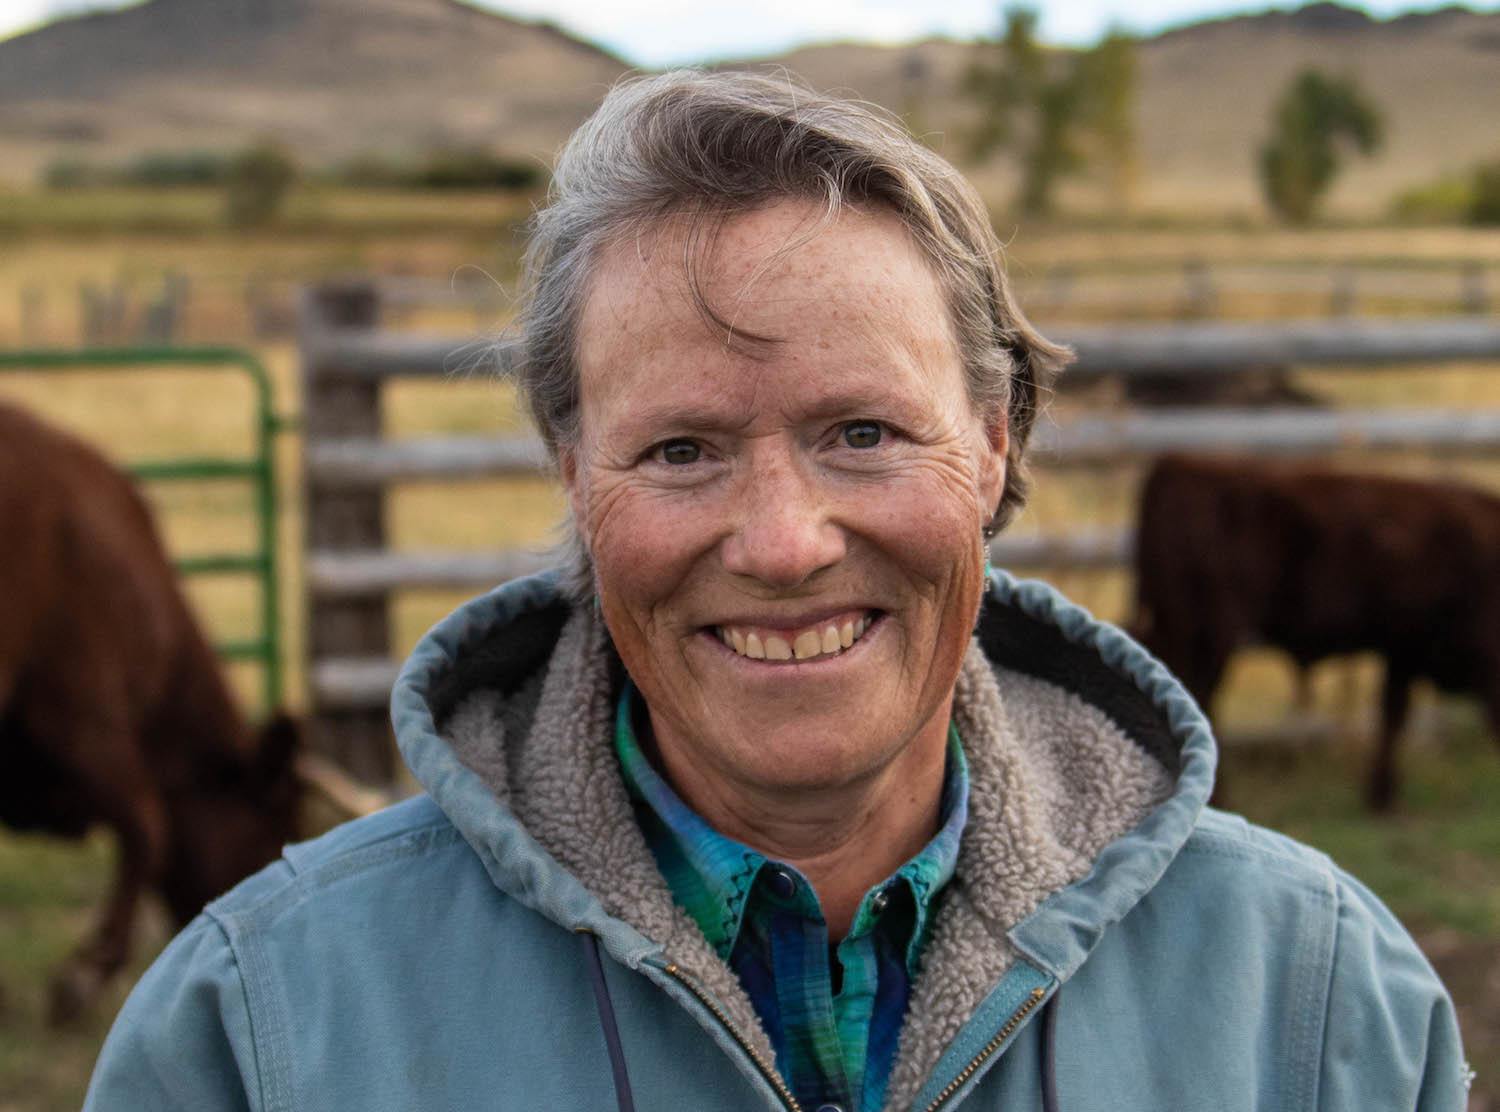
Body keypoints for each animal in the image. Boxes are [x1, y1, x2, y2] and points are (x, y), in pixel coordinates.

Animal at [1128, 450, 1500, 804]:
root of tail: (1174, 465)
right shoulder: (1404, 645)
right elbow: (1393, 715)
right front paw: (1383, 795)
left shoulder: (1401, 650)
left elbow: (1391, 715)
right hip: (1210, 636)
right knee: (1200, 700)